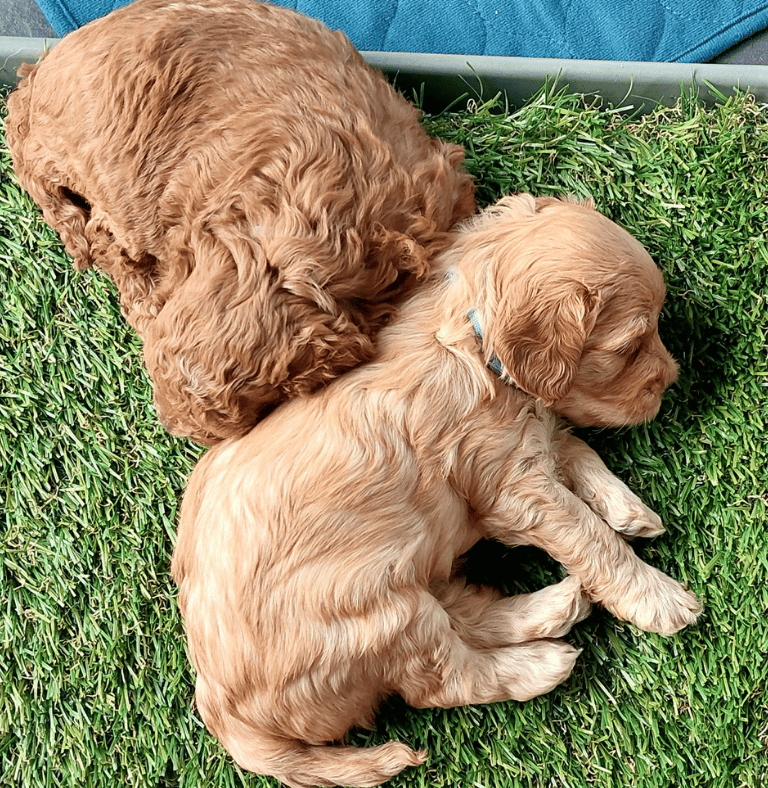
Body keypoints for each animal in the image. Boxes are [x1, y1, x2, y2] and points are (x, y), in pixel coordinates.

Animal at [172, 194, 701, 788]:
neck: (473, 341)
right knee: (447, 679)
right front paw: (657, 597)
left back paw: (552, 606)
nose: (673, 378)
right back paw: (540, 663)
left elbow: (574, 448)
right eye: (630, 347)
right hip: (375, 618)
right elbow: (590, 536)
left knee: (462, 613)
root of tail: (228, 717)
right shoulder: (513, 489)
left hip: (405, 588)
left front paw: (629, 509)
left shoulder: (527, 442)